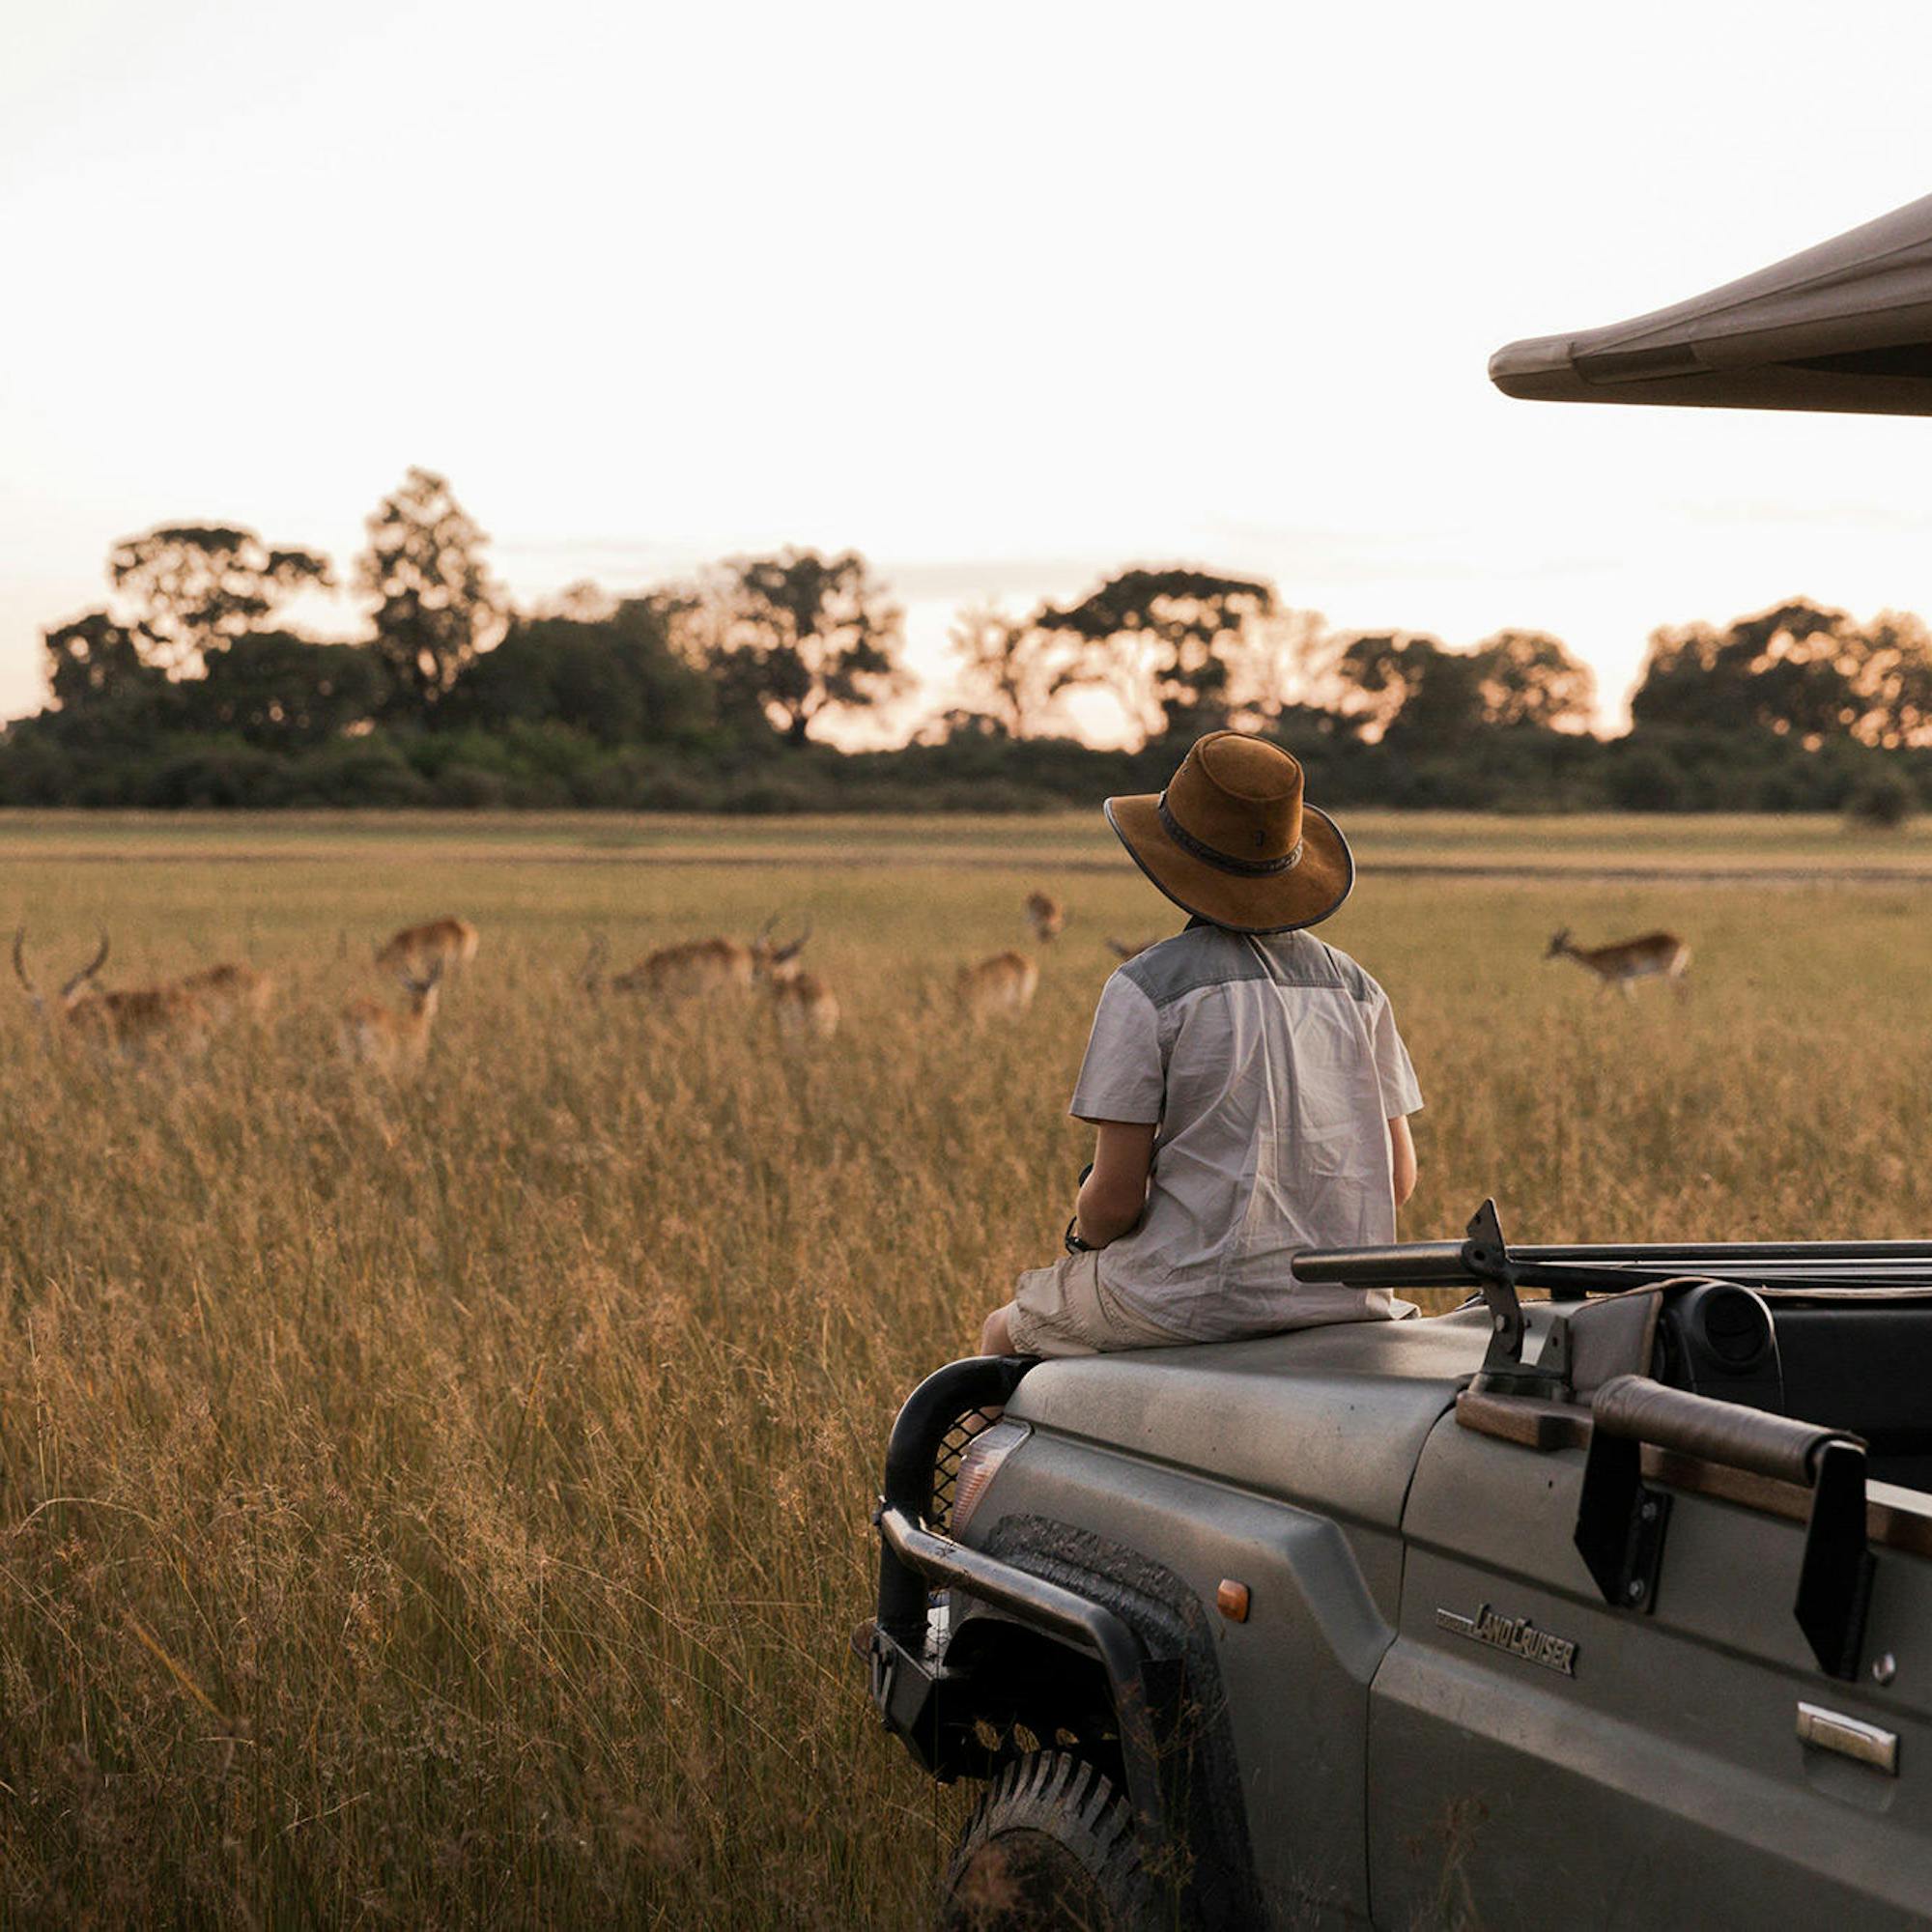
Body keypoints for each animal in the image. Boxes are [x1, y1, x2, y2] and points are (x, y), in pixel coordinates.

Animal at [1546, 928, 1691, 999]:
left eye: (1556, 945)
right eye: (1552, 944)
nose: (1546, 956)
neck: (1597, 957)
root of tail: (1683, 943)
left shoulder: (1609, 979)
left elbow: (1598, 999)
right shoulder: (1626, 980)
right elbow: (1631, 1000)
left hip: (1668, 973)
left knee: (1680, 991)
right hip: (1677, 972)